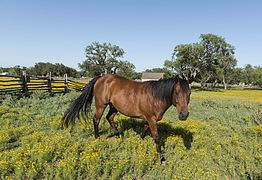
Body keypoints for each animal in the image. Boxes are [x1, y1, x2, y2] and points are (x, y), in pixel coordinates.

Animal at [62, 74, 191, 161]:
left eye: (189, 93)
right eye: (177, 92)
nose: (184, 115)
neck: (155, 97)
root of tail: (100, 78)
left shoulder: (148, 119)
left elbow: (144, 130)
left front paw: (139, 142)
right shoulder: (151, 119)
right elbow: (156, 137)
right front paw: (161, 158)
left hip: (114, 107)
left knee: (109, 118)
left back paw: (119, 136)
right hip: (101, 105)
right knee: (96, 120)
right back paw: (97, 138)